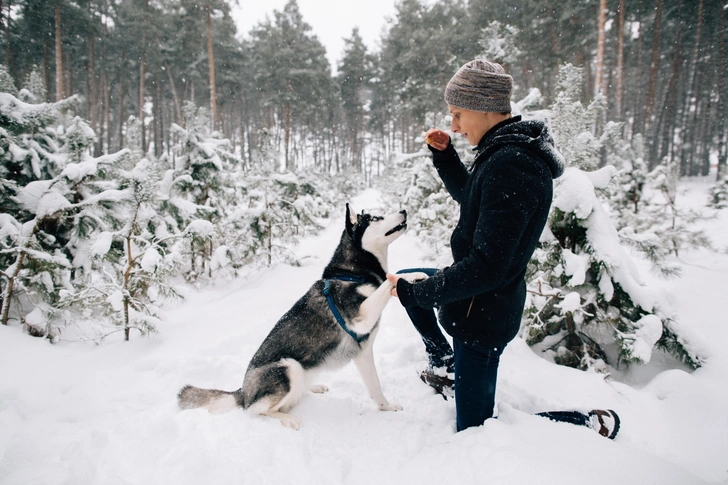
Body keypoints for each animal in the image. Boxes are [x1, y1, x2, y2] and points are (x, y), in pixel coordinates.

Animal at [179, 203, 426, 428]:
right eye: (375, 218)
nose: (404, 210)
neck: (353, 273)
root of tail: (243, 392)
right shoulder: (361, 318)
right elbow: (389, 281)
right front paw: (411, 275)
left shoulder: (363, 352)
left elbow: (375, 386)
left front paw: (386, 407)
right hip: (289, 367)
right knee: (255, 410)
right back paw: (287, 419)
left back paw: (312, 387)